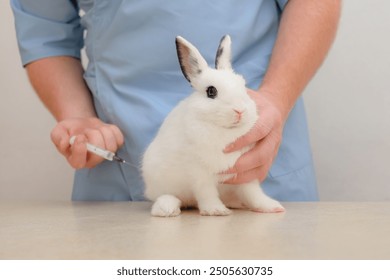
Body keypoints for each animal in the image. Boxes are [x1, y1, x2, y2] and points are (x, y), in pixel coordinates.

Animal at [141, 34, 284, 215]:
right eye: (211, 91)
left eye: (243, 86)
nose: (240, 110)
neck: (224, 130)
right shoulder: (199, 172)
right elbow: (206, 192)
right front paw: (216, 210)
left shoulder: (244, 174)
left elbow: (252, 192)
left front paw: (271, 207)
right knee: (166, 196)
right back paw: (166, 208)